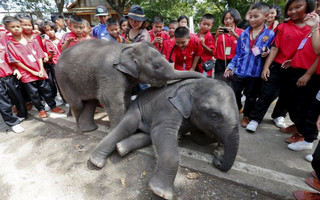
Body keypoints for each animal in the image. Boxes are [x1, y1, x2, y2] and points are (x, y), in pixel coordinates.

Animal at [56, 39, 204, 132]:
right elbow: (111, 100)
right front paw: (115, 132)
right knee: (77, 104)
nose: (204, 77)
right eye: (156, 66)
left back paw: (90, 129)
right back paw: (81, 129)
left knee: (90, 102)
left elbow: (126, 98)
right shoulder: (110, 73)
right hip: (64, 80)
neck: (127, 46)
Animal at [89, 77, 239, 198]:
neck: (192, 85)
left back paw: (120, 148)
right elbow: (161, 132)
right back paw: (96, 161)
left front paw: (218, 149)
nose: (217, 161)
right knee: (129, 125)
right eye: (214, 115)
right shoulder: (168, 106)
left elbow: (199, 138)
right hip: (136, 107)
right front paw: (160, 192)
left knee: (147, 135)